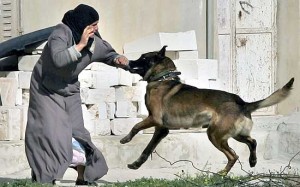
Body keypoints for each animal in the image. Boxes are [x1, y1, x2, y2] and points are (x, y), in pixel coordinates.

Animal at [120, 45, 294, 175]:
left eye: (143, 58)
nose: (128, 62)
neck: (163, 78)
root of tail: (243, 103)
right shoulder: (161, 129)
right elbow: (147, 149)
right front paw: (136, 164)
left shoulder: (154, 119)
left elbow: (135, 126)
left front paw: (126, 139)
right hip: (235, 134)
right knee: (252, 141)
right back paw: (252, 161)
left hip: (215, 135)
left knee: (233, 155)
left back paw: (222, 173)